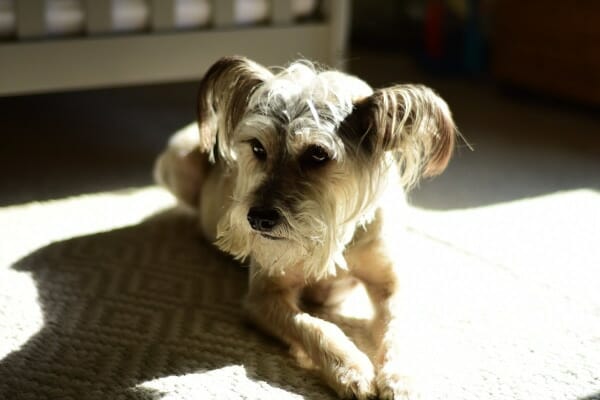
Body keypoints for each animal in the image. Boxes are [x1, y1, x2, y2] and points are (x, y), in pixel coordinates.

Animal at [154, 54, 454, 398]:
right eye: (257, 148)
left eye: (317, 154)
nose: (257, 219)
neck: (332, 231)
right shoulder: (263, 297)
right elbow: (315, 325)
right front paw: (351, 370)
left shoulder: (391, 284)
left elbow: (397, 329)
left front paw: (401, 378)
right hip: (180, 160)